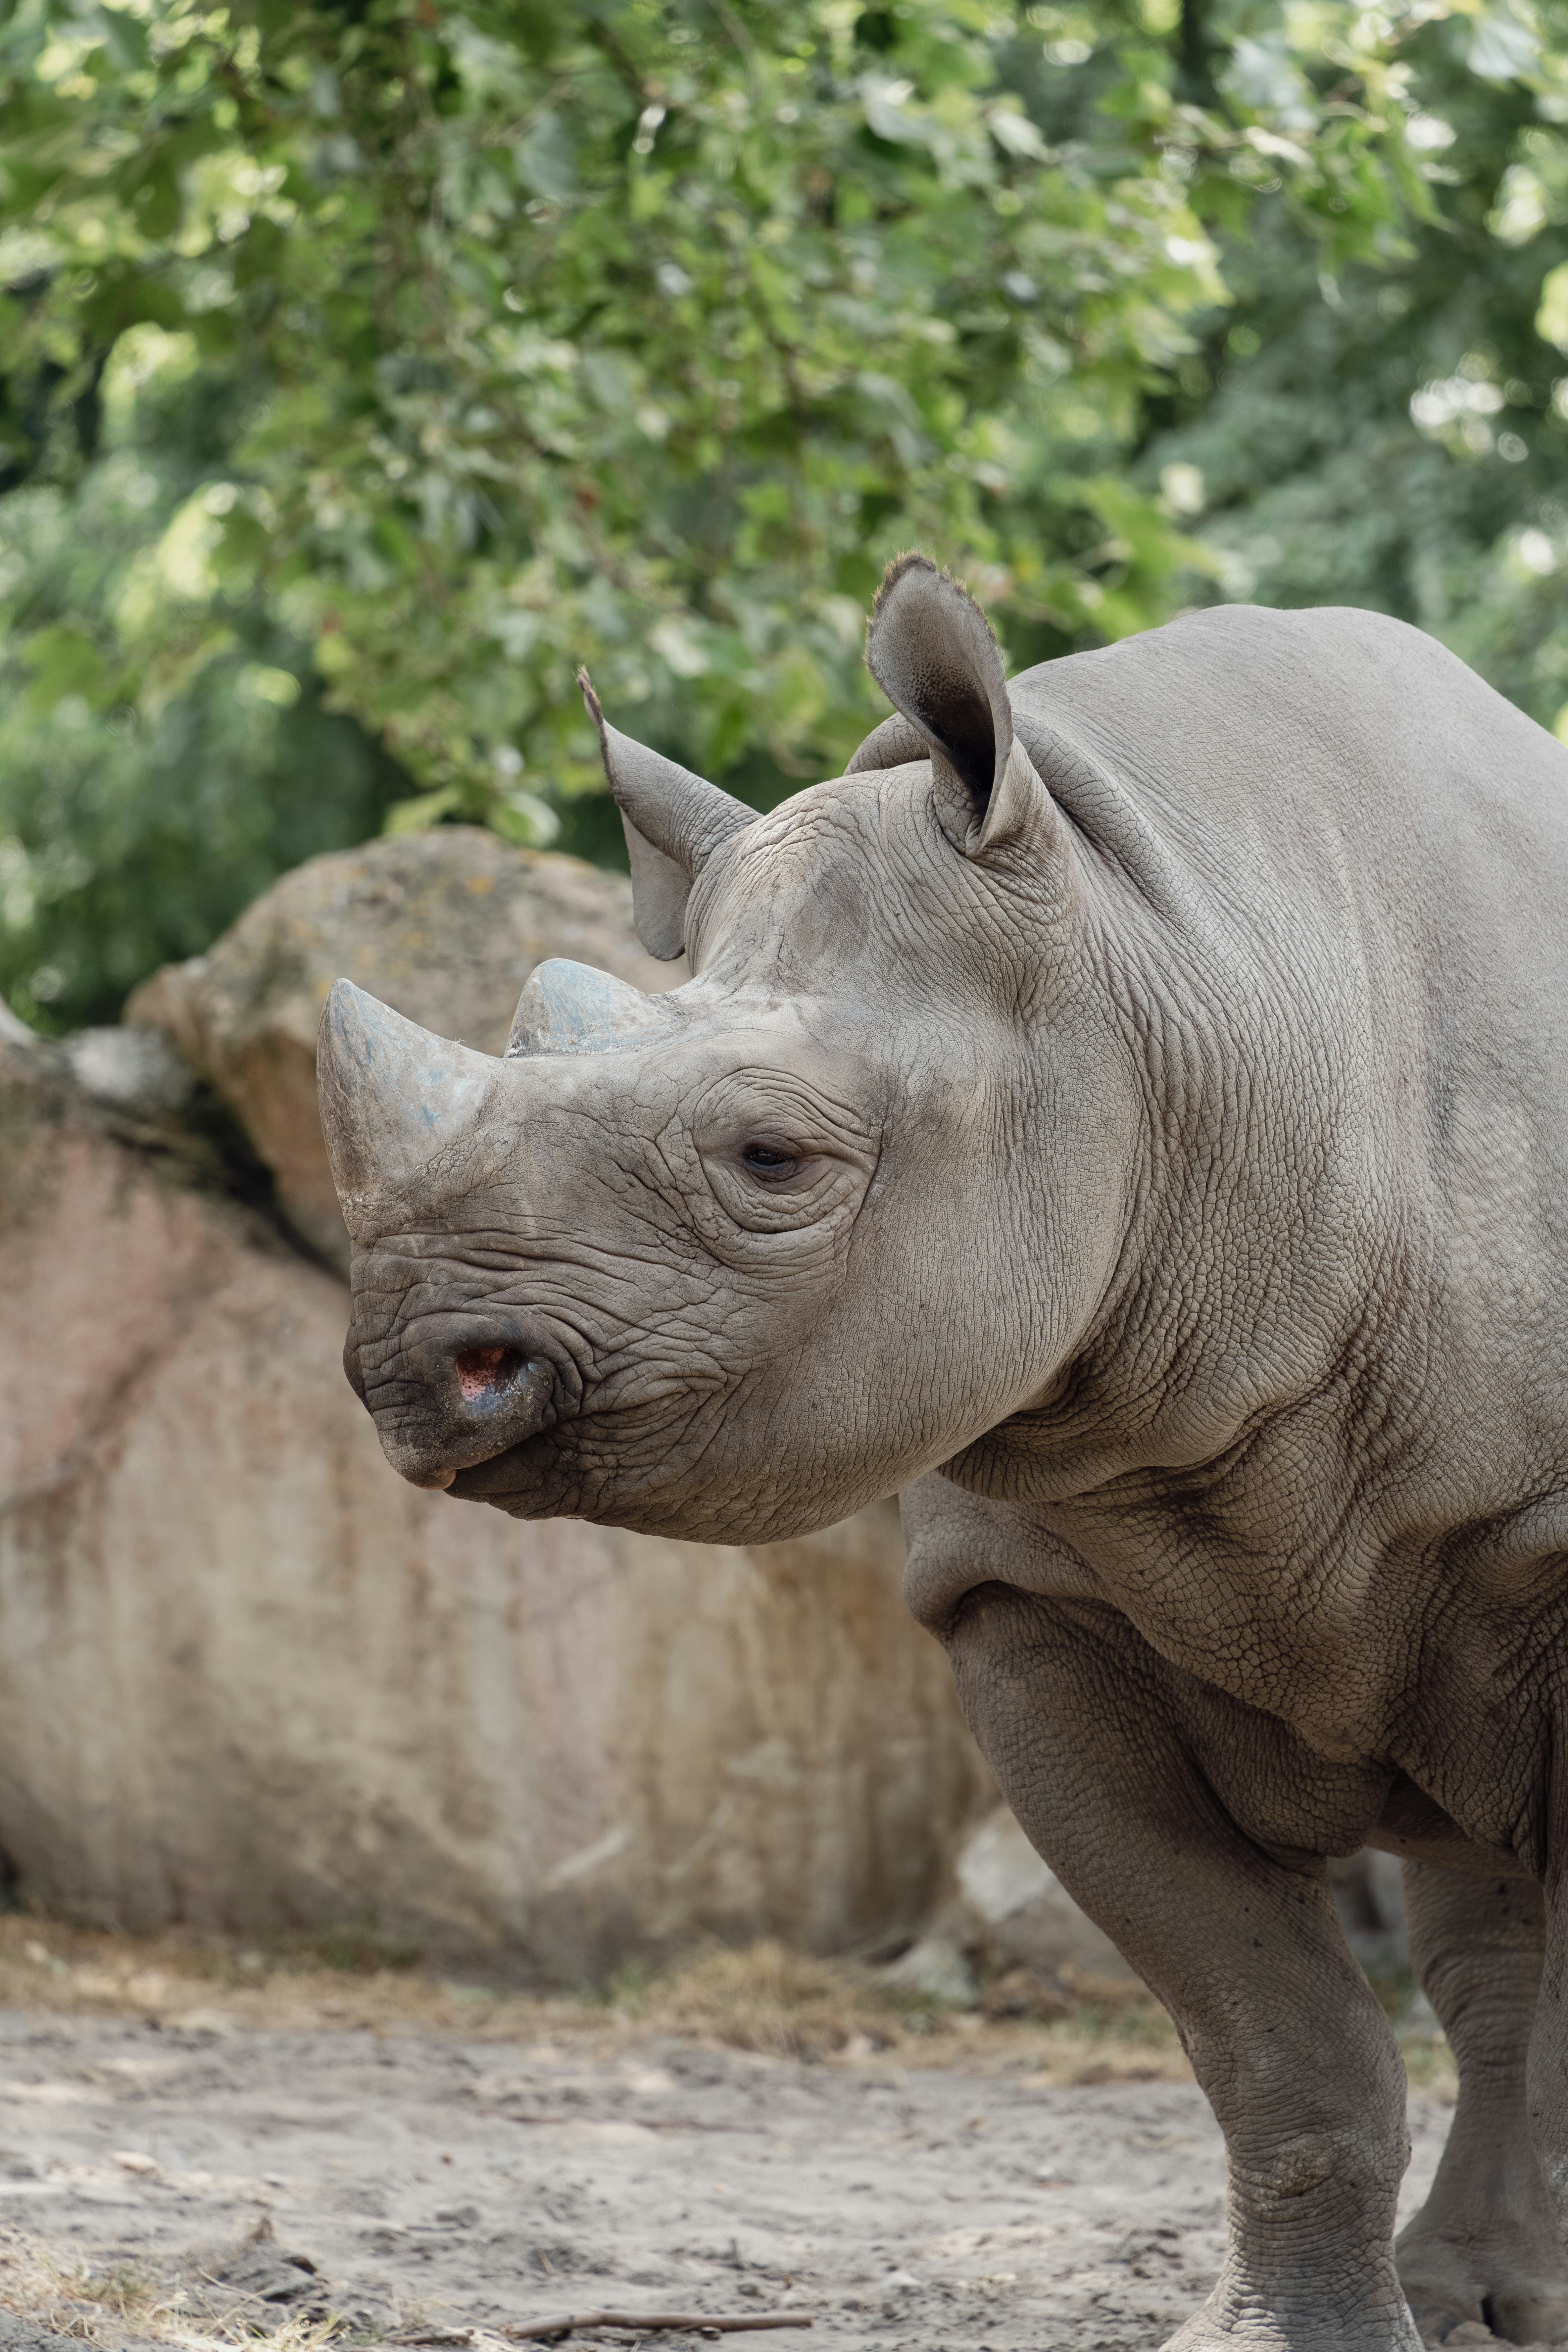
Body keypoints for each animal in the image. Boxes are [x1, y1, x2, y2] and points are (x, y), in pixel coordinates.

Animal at [318, 554, 1568, 2351]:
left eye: (771, 1158)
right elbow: (1272, 2035)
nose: (416, 1371)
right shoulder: (1026, 1586)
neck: (1173, 962)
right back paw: (1467, 2300)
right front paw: (1286, 2339)